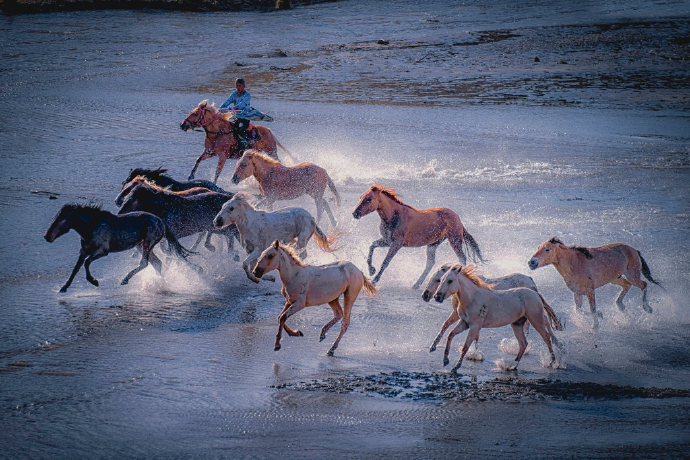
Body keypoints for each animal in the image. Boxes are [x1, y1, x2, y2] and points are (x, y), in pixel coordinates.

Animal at [44, 204, 191, 292]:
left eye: (62, 220)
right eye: (54, 218)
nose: (47, 236)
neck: (91, 226)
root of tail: (162, 222)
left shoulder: (102, 251)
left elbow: (86, 263)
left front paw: (94, 281)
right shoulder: (84, 251)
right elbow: (76, 268)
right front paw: (64, 287)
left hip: (147, 244)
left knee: (145, 262)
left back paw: (125, 280)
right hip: (141, 245)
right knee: (157, 263)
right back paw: (161, 283)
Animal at [352, 184, 482, 286]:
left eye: (369, 199)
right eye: (361, 197)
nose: (355, 213)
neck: (394, 216)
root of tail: (457, 217)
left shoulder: (397, 243)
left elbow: (385, 262)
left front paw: (375, 280)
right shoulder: (387, 240)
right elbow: (372, 246)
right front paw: (371, 270)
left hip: (454, 240)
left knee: (462, 258)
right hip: (433, 244)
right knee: (430, 263)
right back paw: (416, 284)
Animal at [528, 237, 660, 330]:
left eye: (547, 249)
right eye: (538, 247)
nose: (531, 262)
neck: (575, 264)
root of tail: (634, 250)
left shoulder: (590, 291)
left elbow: (592, 309)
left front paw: (595, 325)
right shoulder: (577, 293)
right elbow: (579, 310)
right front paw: (600, 315)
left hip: (632, 275)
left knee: (643, 284)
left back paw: (647, 308)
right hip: (615, 278)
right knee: (627, 285)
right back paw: (621, 306)